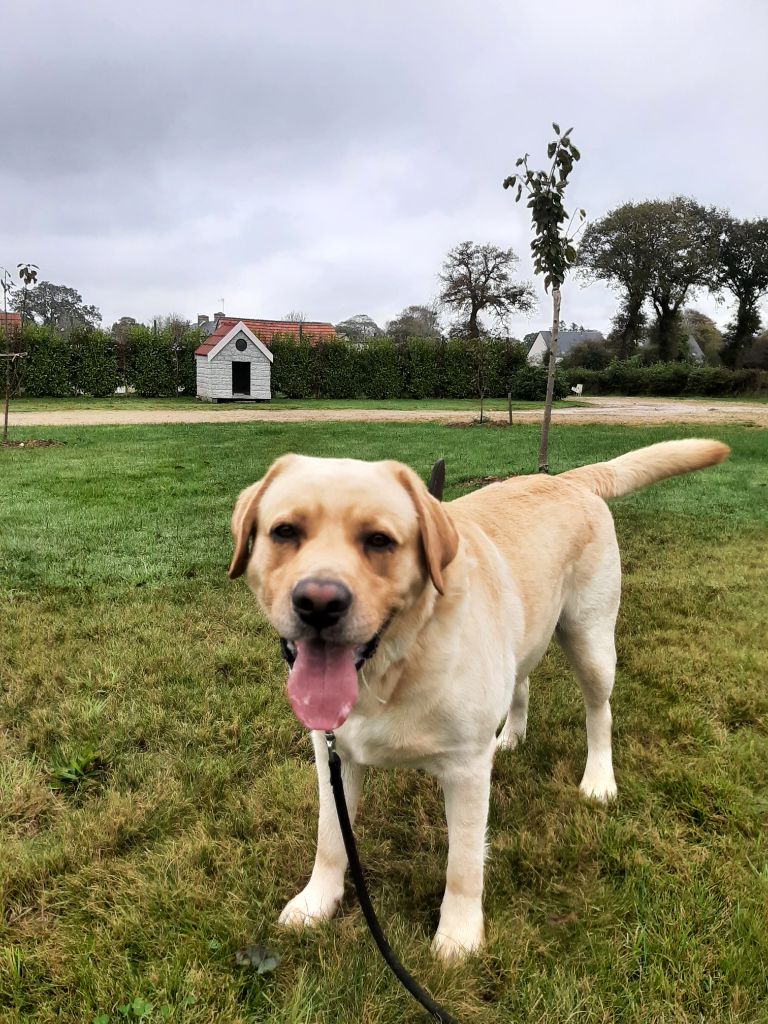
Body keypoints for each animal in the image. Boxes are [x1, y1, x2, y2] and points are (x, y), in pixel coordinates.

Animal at [227, 440, 729, 958]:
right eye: (285, 532)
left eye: (379, 541)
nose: (319, 603)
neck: (393, 667)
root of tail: (567, 479)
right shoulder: (332, 755)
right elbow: (330, 838)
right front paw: (317, 902)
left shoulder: (467, 769)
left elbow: (463, 864)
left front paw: (459, 937)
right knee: (521, 683)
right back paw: (510, 736)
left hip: (590, 640)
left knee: (600, 711)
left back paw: (598, 779)